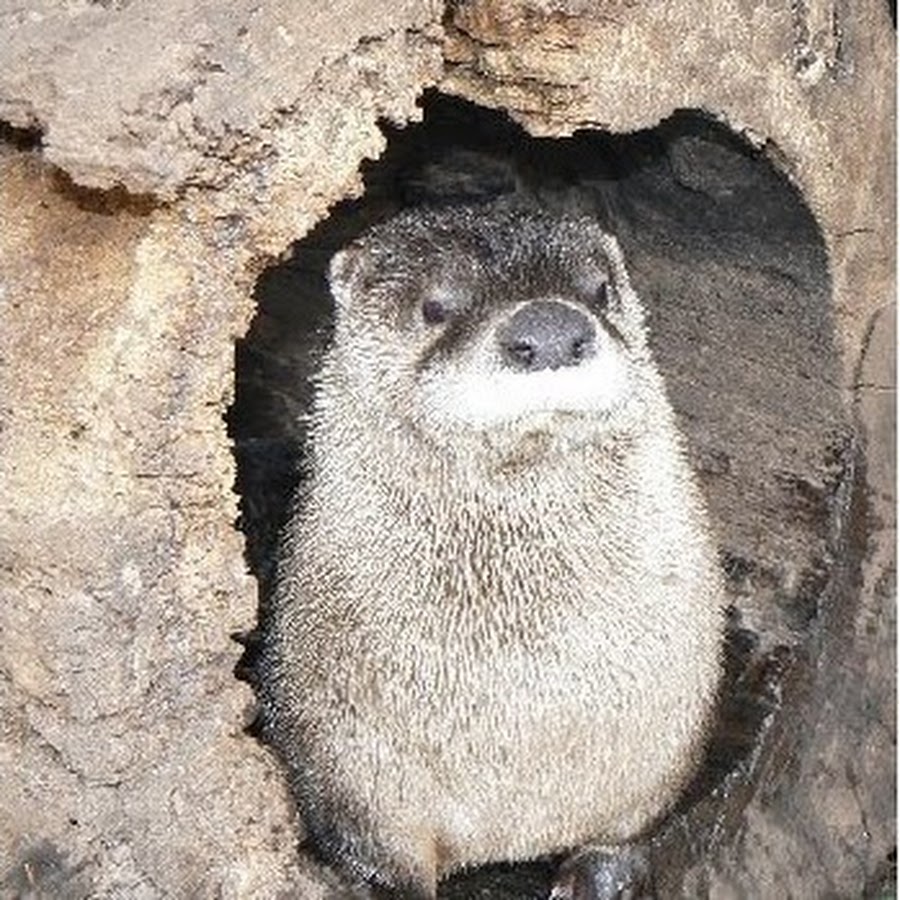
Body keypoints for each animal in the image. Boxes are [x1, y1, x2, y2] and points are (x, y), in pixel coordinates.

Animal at [257, 202, 725, 898]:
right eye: (435, 307)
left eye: (600, 291)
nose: (552, 329)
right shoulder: (343, 765)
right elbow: (374, 855)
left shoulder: (664, 748)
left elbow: (629, 827)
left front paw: (599, 872)